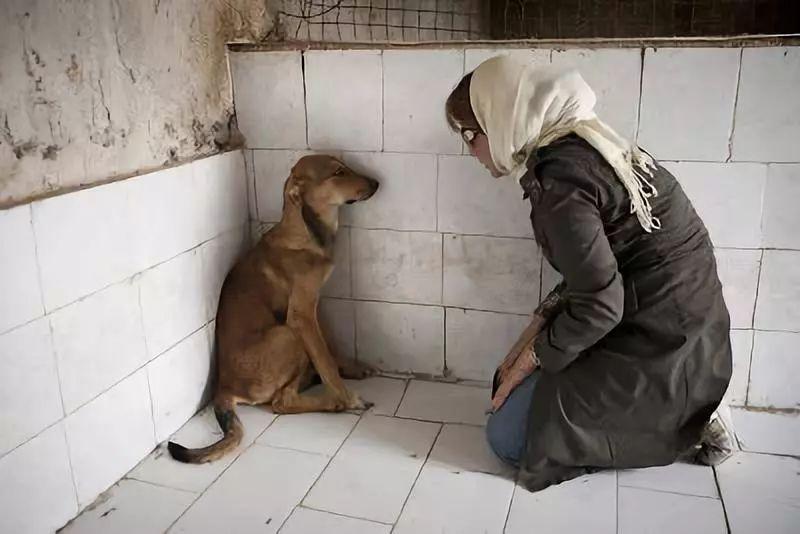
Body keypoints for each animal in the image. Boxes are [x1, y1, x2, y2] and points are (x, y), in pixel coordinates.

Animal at [168, 154, 378, 464]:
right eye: (338, 172)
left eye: (346, 165)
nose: (377, 183)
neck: (304, 233)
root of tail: (223, 387)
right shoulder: (300, 316)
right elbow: (325, 360)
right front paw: (347, 395)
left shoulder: (314, 306)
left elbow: (328, 347)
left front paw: (349, 367)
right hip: (287, 335)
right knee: (282, 402)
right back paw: (333, 401)